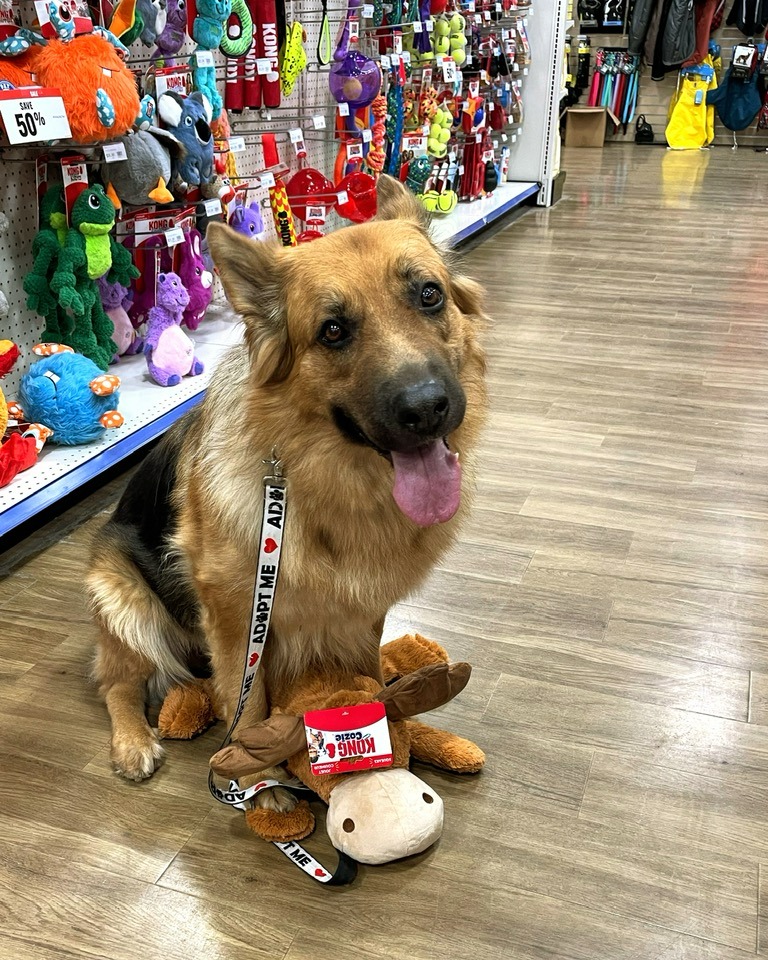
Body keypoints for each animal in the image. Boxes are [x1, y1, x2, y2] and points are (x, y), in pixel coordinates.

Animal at [86, 176, 488, 811]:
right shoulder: (236, 617)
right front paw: (259, 783)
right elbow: (247, 702)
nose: (427, 410)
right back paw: (134, 740)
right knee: (120, 682)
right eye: (333, 331)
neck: (328, 483)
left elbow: (368, 674)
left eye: (429, 296)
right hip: (122, 600)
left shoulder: (363, 609)